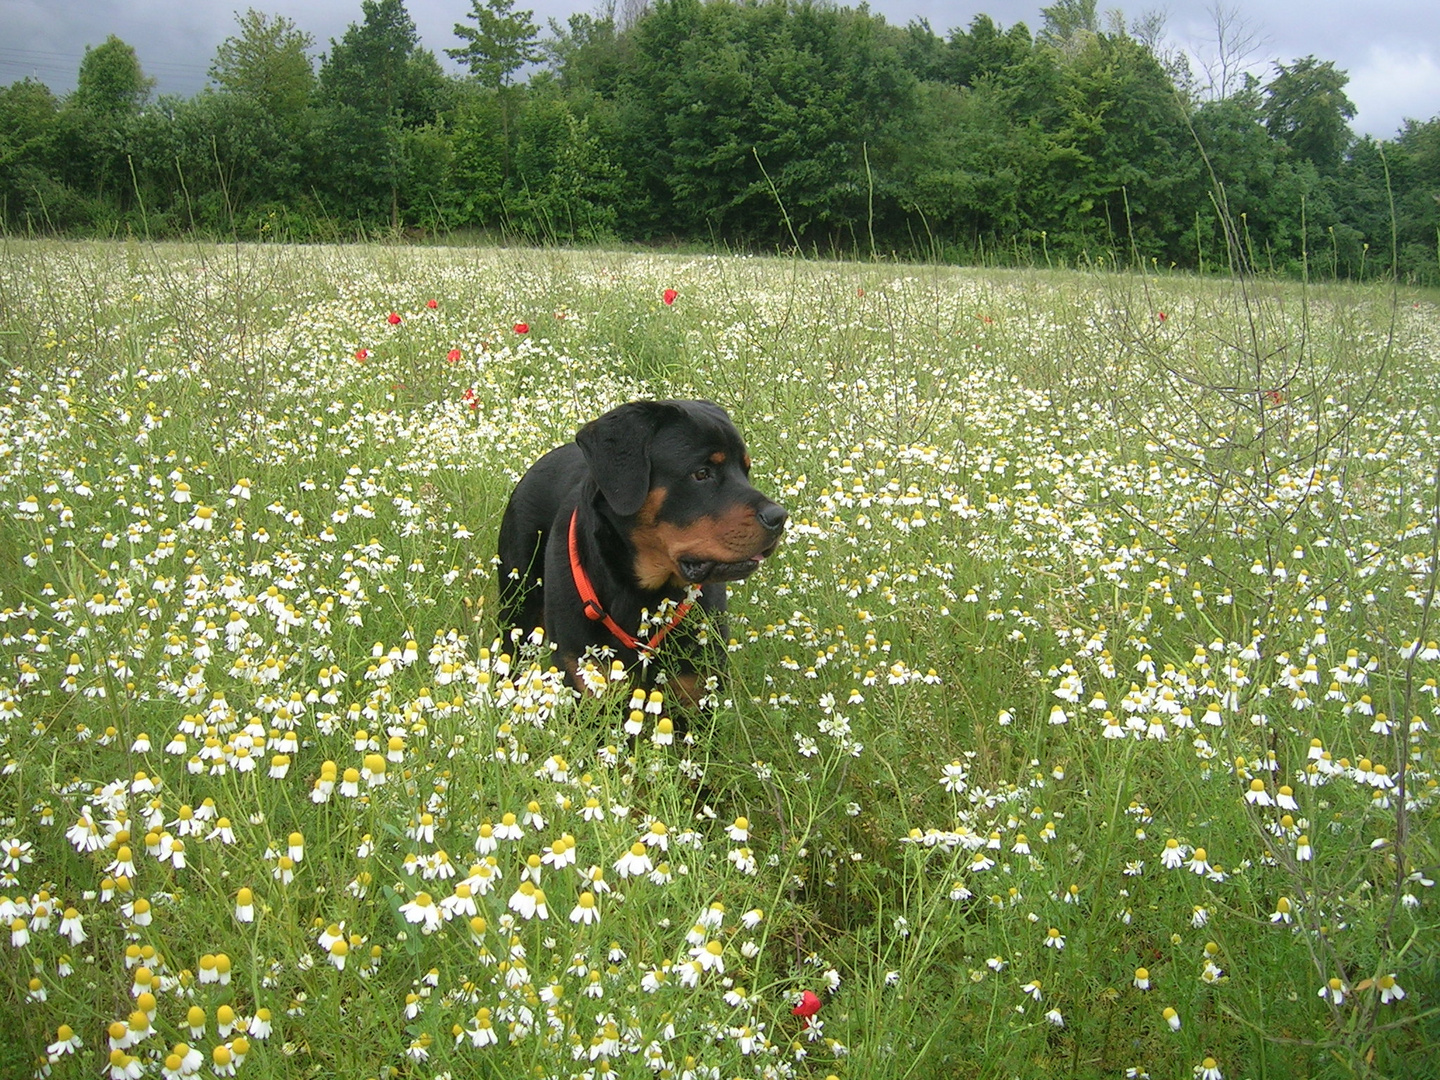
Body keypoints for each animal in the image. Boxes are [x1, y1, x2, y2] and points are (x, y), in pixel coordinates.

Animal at [498, 400, 789, 711]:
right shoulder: (585, 682)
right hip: (517, 614)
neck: (643, 595)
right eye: (701, 473)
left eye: (745, 471)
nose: (779, 517)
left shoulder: (698, 691)